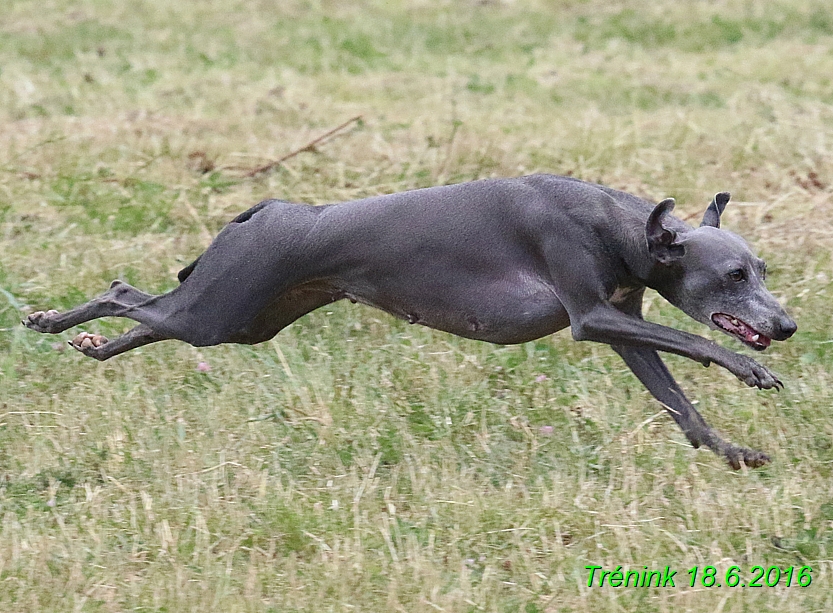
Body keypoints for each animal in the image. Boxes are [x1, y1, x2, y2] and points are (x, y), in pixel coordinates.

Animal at [26, 175, 792, 466]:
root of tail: (265, 211)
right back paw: (54, 322)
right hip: (221, 310)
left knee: (147, 317)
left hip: (241, 319)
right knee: (124, 292)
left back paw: (91, 346)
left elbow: (678, 402)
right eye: (733, 276)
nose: (785, 326)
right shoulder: (593, 318)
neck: (616, 224)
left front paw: (729, 451)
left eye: (761, 269)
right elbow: (694, 341)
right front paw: (750, 369)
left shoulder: (620, 326)